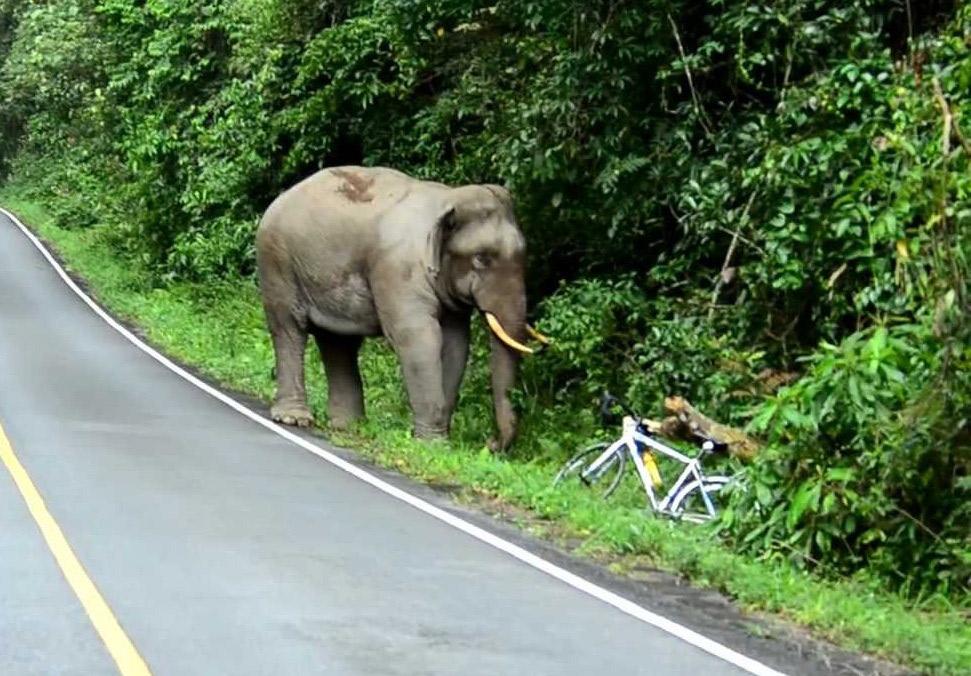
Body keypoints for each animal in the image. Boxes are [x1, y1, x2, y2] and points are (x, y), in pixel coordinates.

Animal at [256, 165, 548, 448]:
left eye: (524, 256)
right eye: (481, 259)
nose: (491, 444)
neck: (447, 198)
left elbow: (456, 344)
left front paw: (439, 441)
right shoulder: (397, 269)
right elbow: (419, 338)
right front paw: (432, 444)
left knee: (338, 342)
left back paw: (349, 427)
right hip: (277, 261)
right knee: (289, 327)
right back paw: (294, 418)